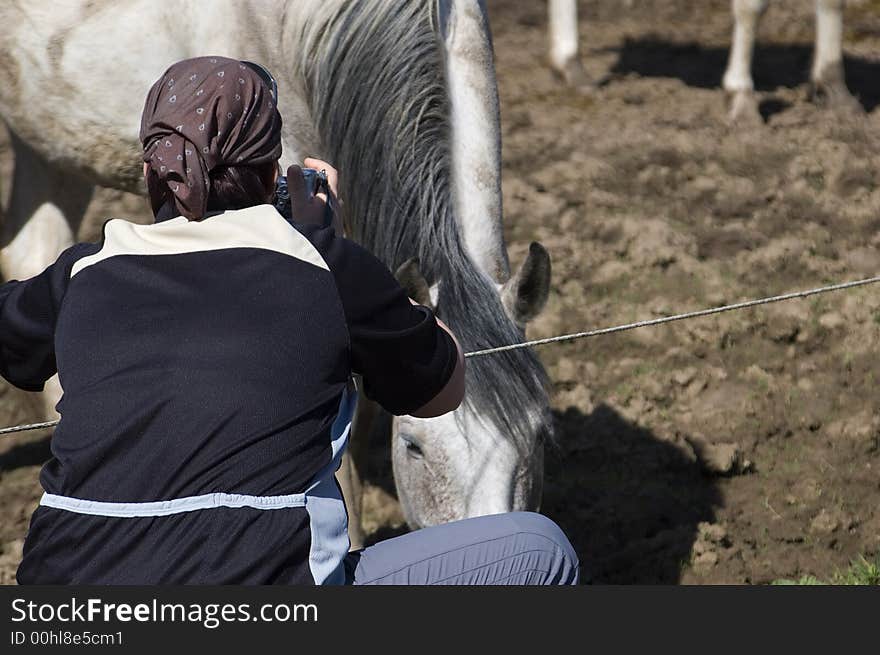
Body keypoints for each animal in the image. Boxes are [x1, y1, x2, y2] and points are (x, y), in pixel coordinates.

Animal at [548, 0, 856, 120]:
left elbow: (833, 3)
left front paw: (836, 90)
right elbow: (752, 8)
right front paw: (741, 98)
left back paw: (567, 64)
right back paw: (572, 67)